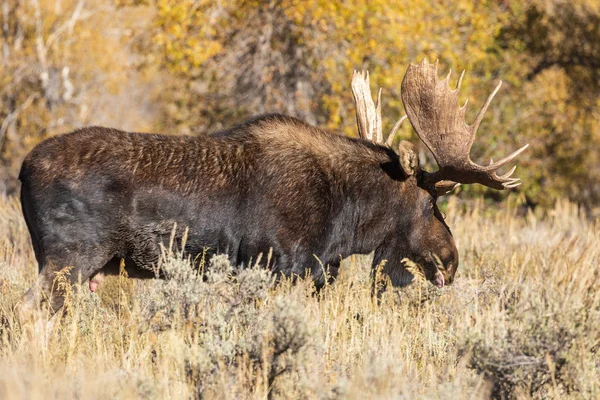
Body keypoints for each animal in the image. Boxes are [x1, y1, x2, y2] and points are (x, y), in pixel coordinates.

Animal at [18, 61, 524, 314]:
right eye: (429, 202)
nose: (451, 260)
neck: (347, 219)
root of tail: (23, 170)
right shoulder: (282, 264)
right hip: (69, 259)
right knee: (30, 309)